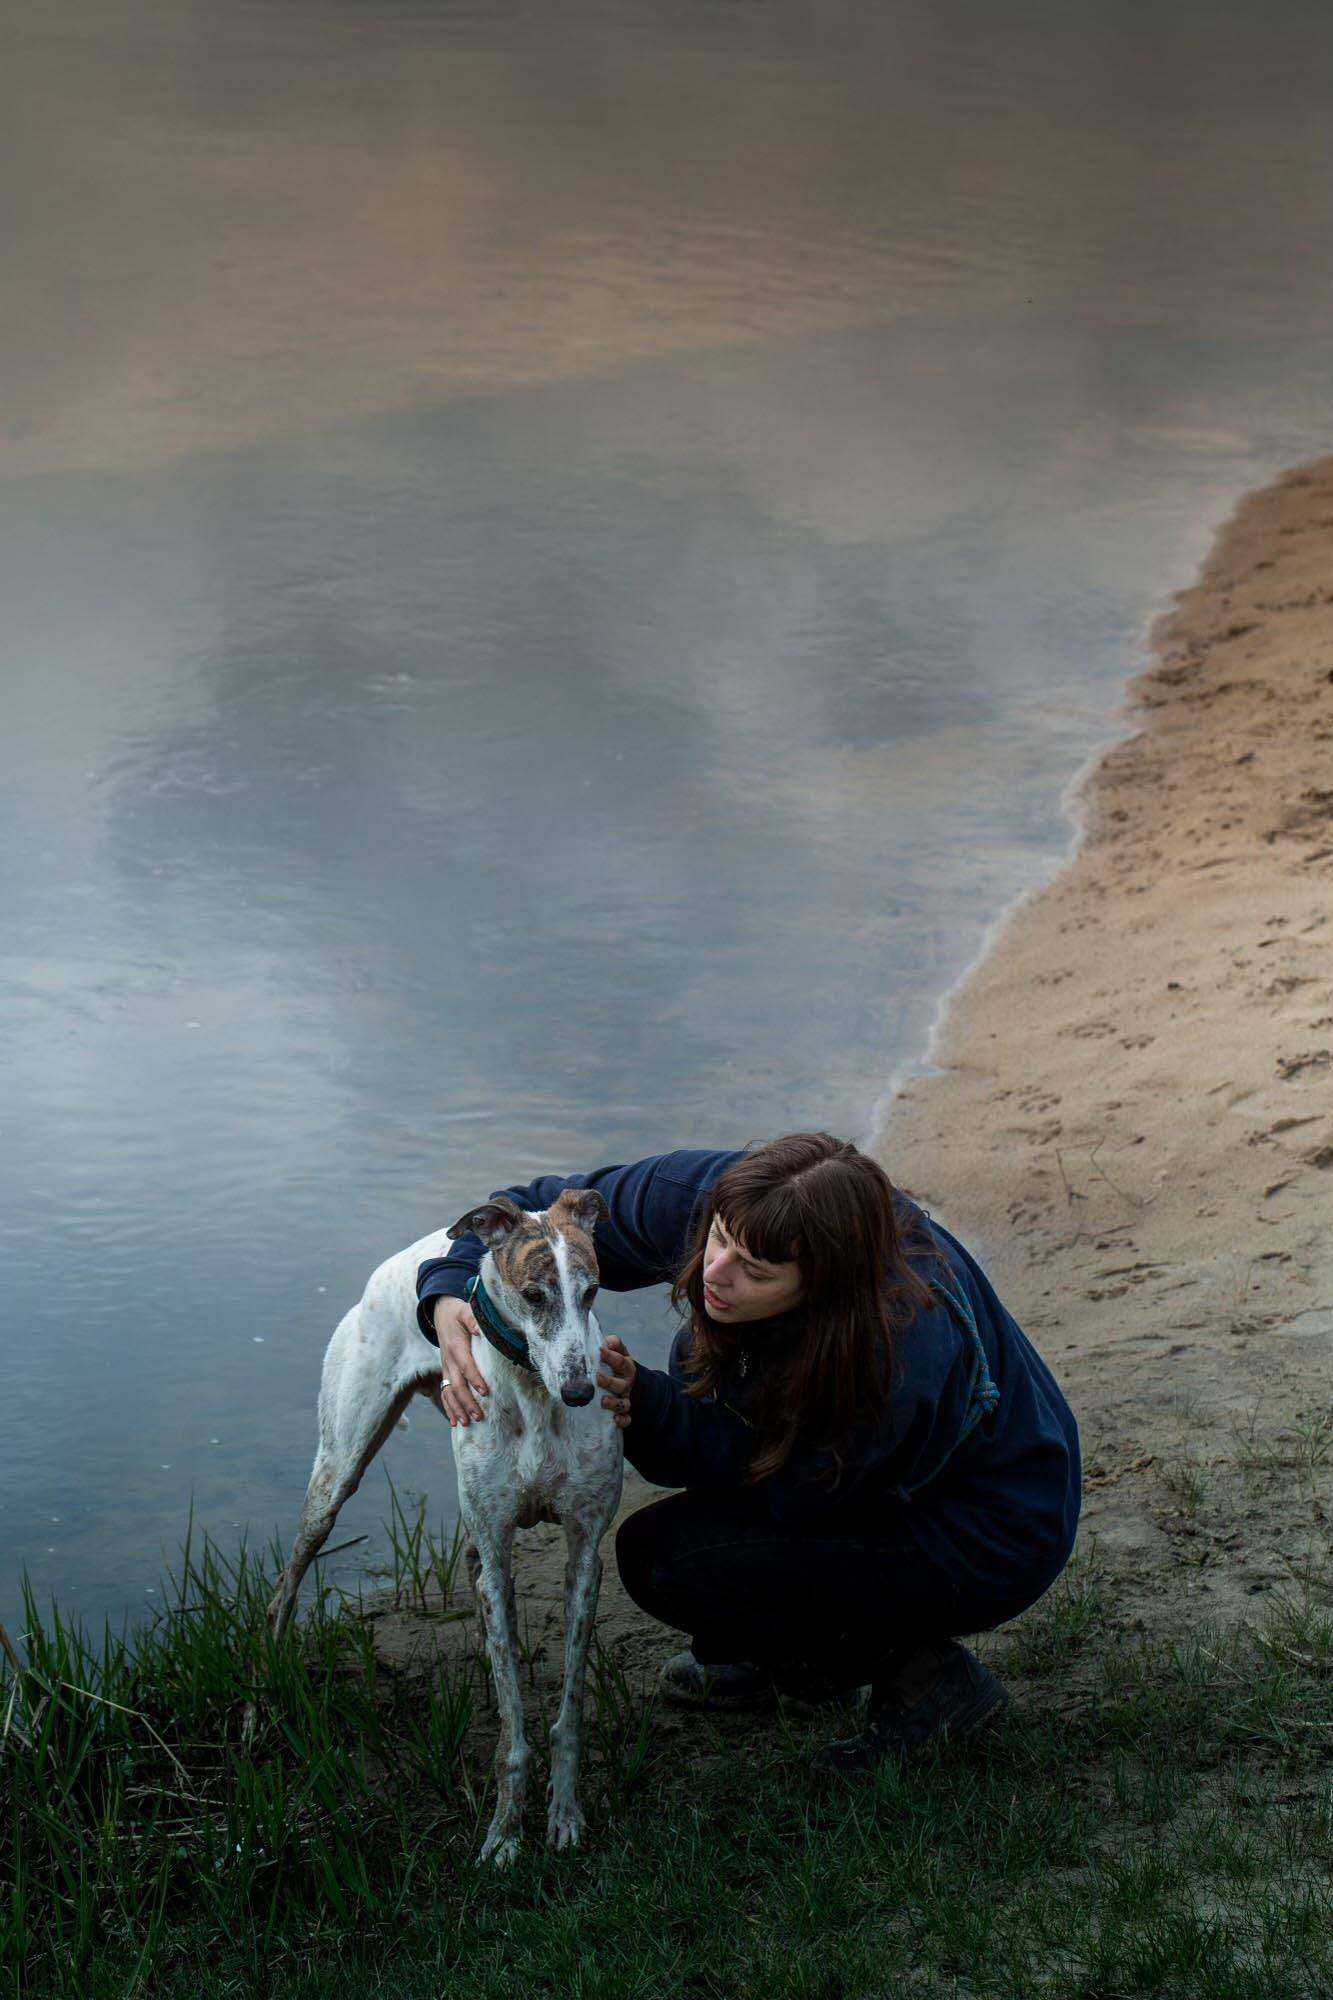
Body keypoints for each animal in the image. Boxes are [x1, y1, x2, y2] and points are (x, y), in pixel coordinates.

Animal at [272, 1184, 624, 1856]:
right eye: (534, 1295)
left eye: (592, 1291)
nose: (580, 1393)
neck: (532, 1392)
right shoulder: (498, 1555)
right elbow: (514, 1735)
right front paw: (505, 1834)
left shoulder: (585, 1559)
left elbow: (567, 1711)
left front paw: (564, 1814)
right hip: (337, 1473)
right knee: (283, 1587)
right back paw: (265, 1699)